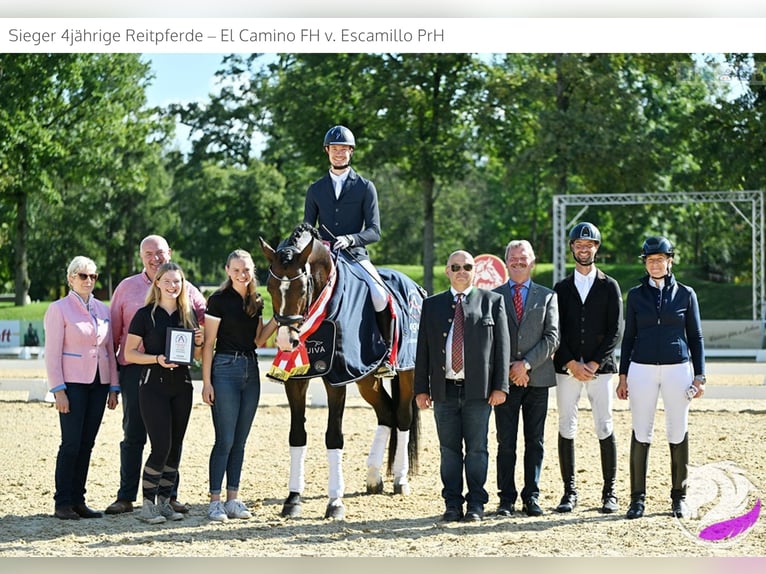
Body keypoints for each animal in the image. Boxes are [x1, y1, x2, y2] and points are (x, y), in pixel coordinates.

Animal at [260, 225, 424, 520]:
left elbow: (333, 437)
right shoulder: (296, 380)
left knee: (403, 417)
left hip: (408, 371)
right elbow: (296, 435)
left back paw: (400, 480)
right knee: (387, 413)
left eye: (302, 288)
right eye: (269, 287)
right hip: (366, 378)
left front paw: (335, 502)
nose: (286, 343)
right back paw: (373, 478)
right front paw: (293, 499)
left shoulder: (337, 378)